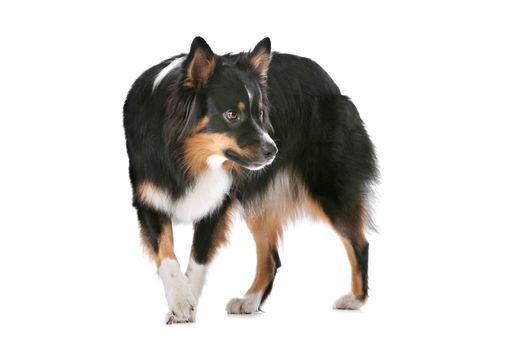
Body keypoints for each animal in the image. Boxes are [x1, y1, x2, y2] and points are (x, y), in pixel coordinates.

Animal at [123, 37, 376, 324]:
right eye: (232, 114)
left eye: (261, 113)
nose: (273, 151)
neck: (184, 156)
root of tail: (330, 82)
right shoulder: (149, 200)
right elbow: (167, 257)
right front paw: (180, 301)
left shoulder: (217, 204)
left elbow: (198, 259)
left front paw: (187, 304)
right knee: (271, 257)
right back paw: (250, 301)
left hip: (327, 186)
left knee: (359, 241)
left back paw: (355, 299)